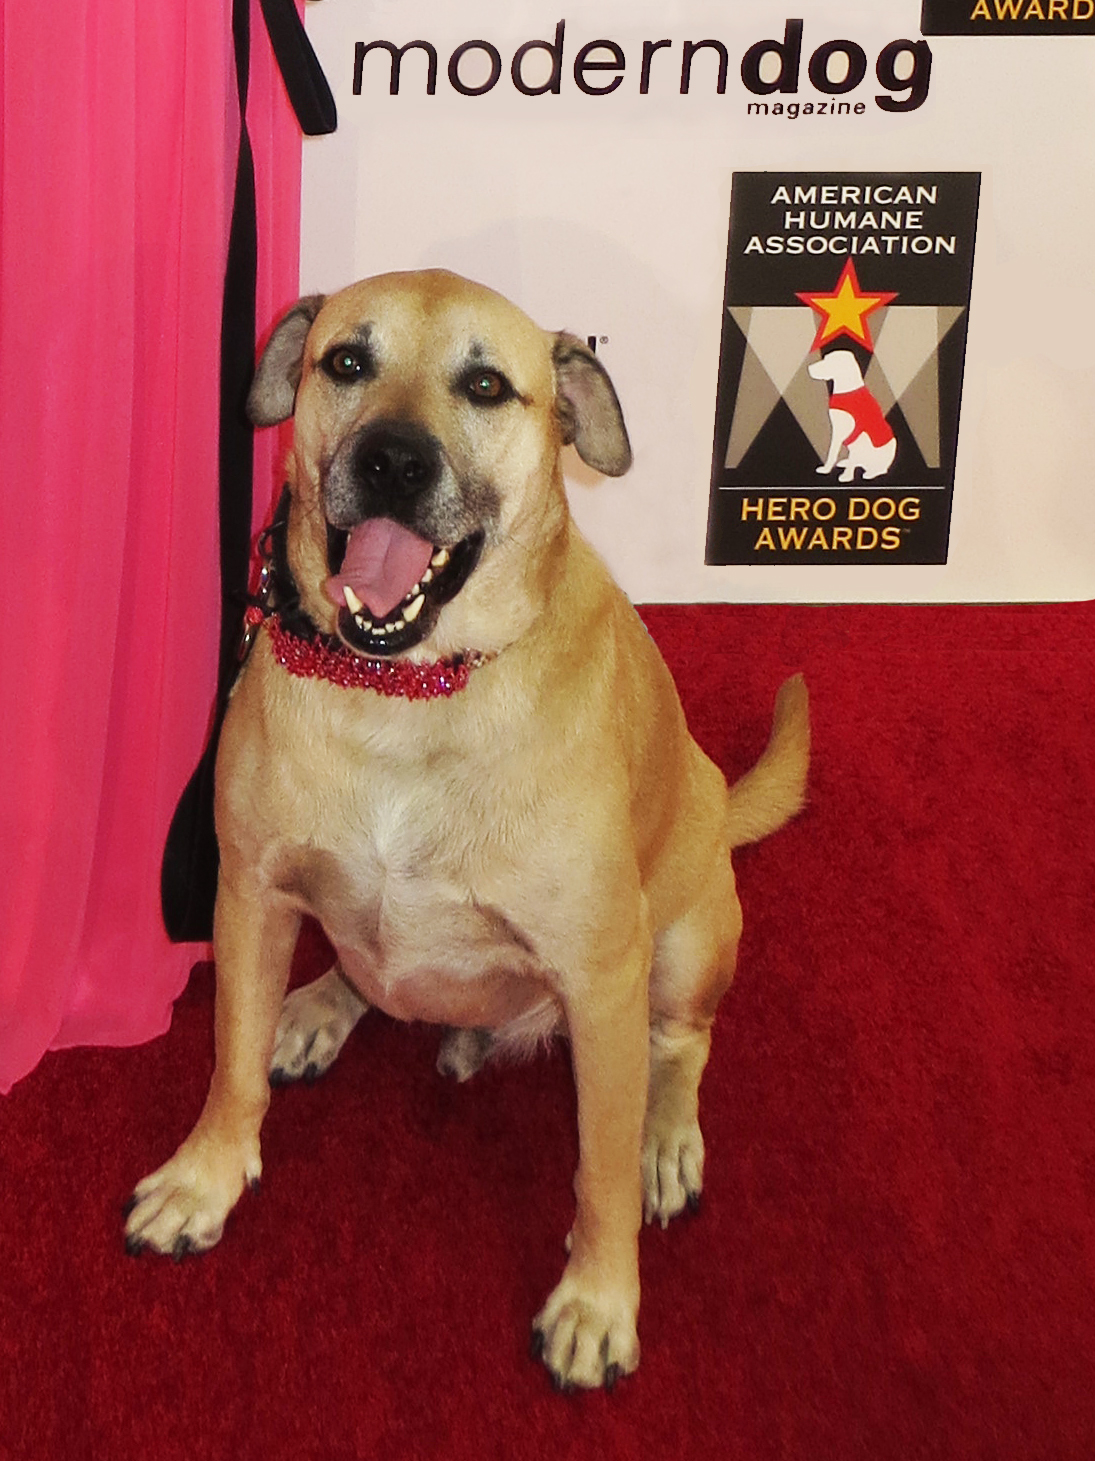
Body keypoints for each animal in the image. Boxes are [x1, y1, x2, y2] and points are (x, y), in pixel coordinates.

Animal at [127, 271, 806, 1390]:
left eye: (486, 385)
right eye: (347, 360)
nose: (392, 461)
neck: (406, 693)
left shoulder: (602, 974)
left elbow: (597, 1172)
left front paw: (597, 1299)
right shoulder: (249, 892)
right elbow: (230, 1067)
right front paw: (206, 1178)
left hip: (686, 938)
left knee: (681, 1045)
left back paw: (667, 1140)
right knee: (364, 977)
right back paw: (319, 1007)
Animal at [801, 347, 894, 485]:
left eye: (829, 361)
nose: (809, 368)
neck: (847, 390)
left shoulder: (850, 433)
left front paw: (847, 476)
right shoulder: (836, 430)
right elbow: (833, 452)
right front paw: (827, 469)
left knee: (878, 468)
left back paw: (870, 472)